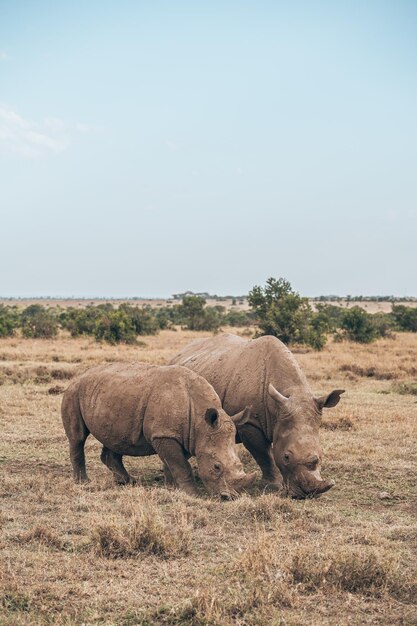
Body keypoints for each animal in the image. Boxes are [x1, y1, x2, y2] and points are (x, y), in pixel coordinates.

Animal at [60, 360, 255, 498]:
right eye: (216, 467)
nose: (230, 497)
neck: (200, 422)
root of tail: (80, 376)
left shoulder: (181, 435)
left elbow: (173, 463)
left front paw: (171, 488)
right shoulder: (164, 434)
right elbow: (181, 465)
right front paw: (193, 494)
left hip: (108, 397)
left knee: (115, 439)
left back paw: (127, 482)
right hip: (73, 392)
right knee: (78, 438)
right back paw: (84, 483)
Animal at [170, 332, 344, 498]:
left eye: (320, 455)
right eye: (286, 457)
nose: (307, 495)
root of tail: (180, 353)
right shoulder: (249, 423)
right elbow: (264, 454)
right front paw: (274, 487)